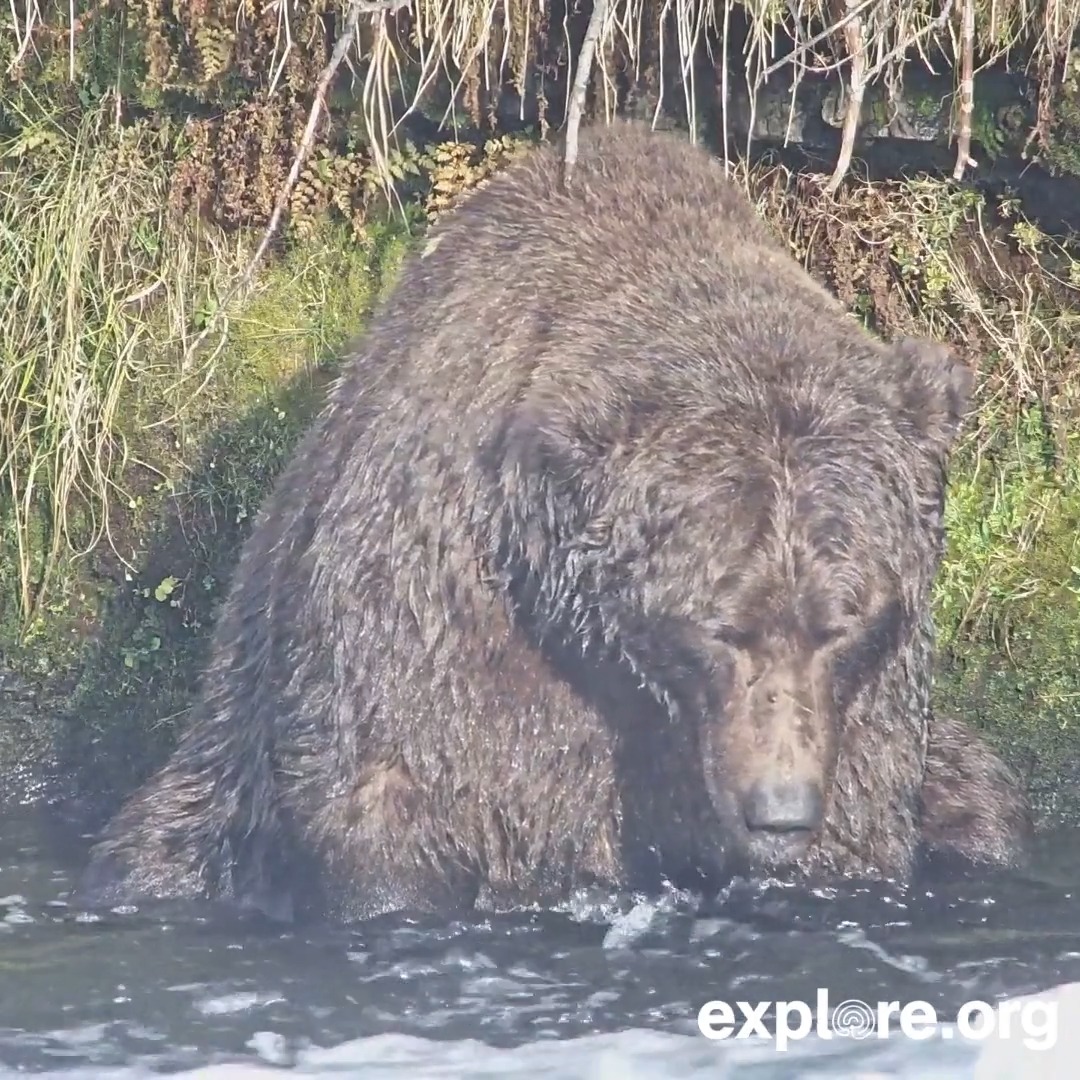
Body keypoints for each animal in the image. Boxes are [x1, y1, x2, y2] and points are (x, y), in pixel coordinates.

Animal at [72, 119, 1031, 924]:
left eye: (845, 622)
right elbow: (401, 799)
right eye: (720, 625)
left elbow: (865, 816)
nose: (779, 809)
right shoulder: (442, 625)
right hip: (219, 774)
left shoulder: (870, 708)